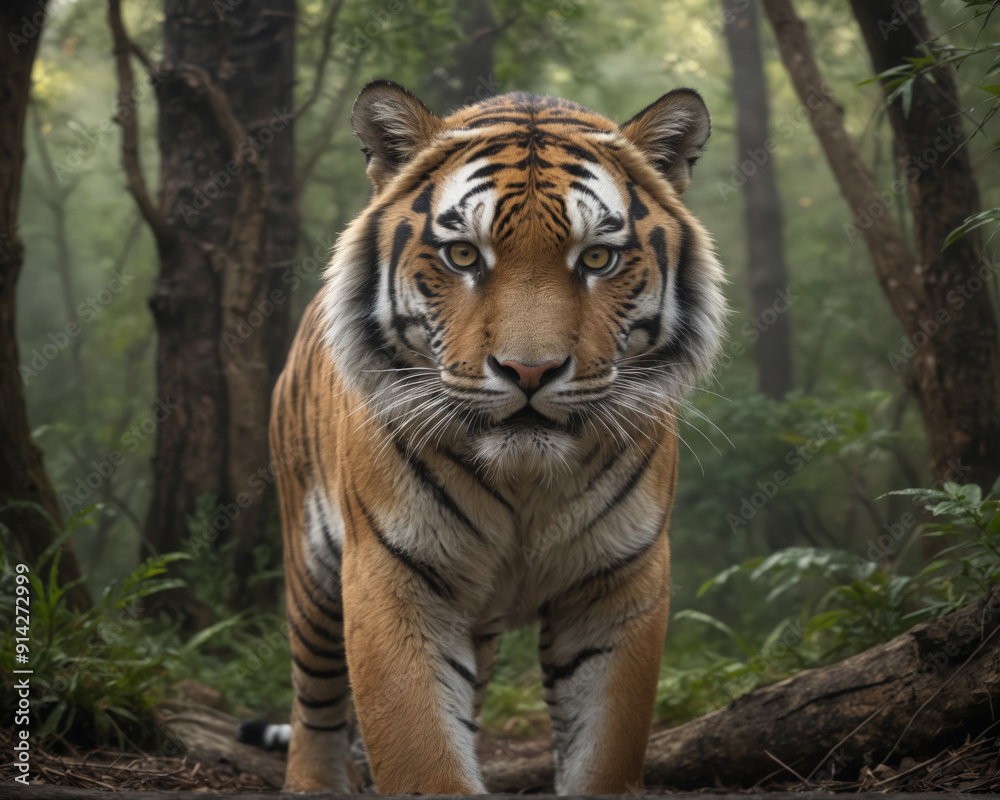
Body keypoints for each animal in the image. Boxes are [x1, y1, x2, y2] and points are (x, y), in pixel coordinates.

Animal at [257, 79, 727, 794]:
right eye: (463, 255)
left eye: (597, 258)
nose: (529, 371)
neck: (526, 482)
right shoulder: (392, 578)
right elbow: (421, 754)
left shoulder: (619, 583)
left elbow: (604, 751)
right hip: (312, 574)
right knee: (316, 704)